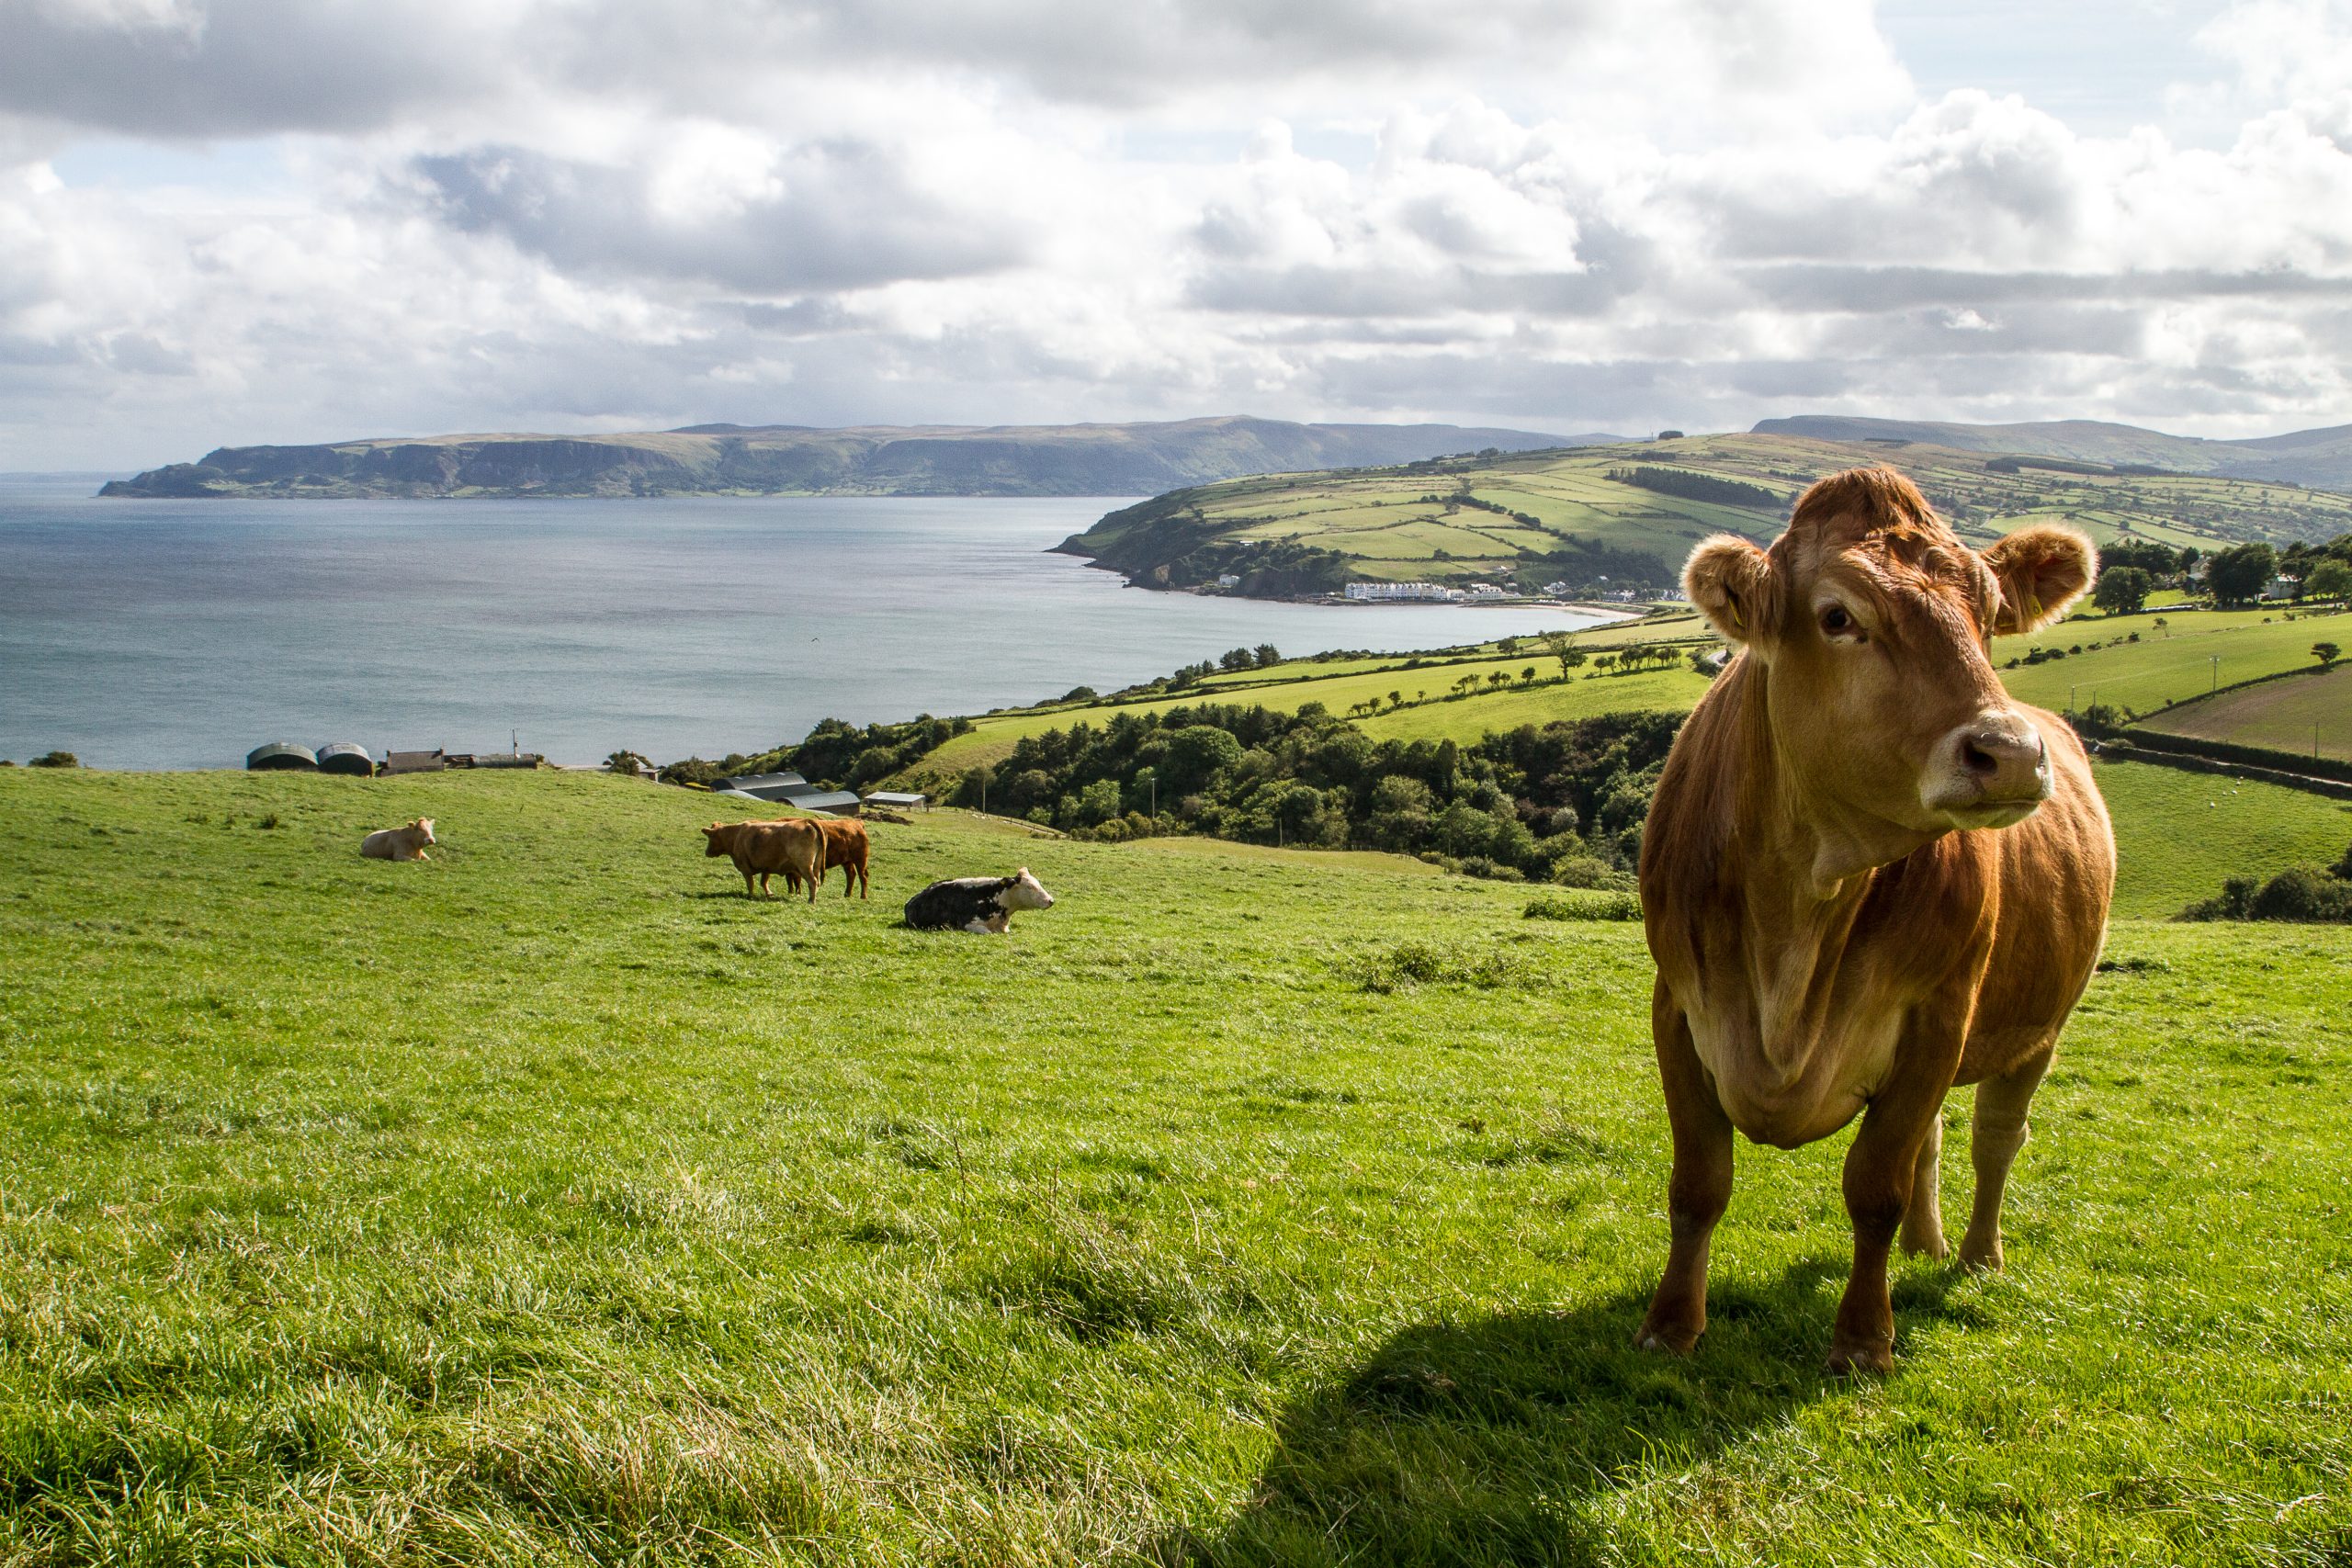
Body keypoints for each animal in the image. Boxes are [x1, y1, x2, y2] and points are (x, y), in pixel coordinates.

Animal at [695, 818, 828, 902]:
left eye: (710, 837)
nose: (706, 852)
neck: (736, 835)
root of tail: (805, 821)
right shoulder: (766, 867)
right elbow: (763, 882)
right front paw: (769, 894)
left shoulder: (745, 867)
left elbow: (750, 883)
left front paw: (750, 896)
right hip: (816, 865)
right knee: (817, 882)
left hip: (804, 865)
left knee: (813, 881)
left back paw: (811, 901)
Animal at [1636, 465, 2117, 1372]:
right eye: (1838, 616)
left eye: (1989, 613)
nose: (2010, 752)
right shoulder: (1678, 1004)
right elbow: (1698, 1182)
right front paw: (1671, 1325)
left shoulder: (1937, 1014)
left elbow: (1875, 1186)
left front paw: (1863, 1338)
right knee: (1936, 1139)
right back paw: (1929, 1246)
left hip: (2041, 1026)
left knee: (1994, 1136)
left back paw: (1976, 1256)